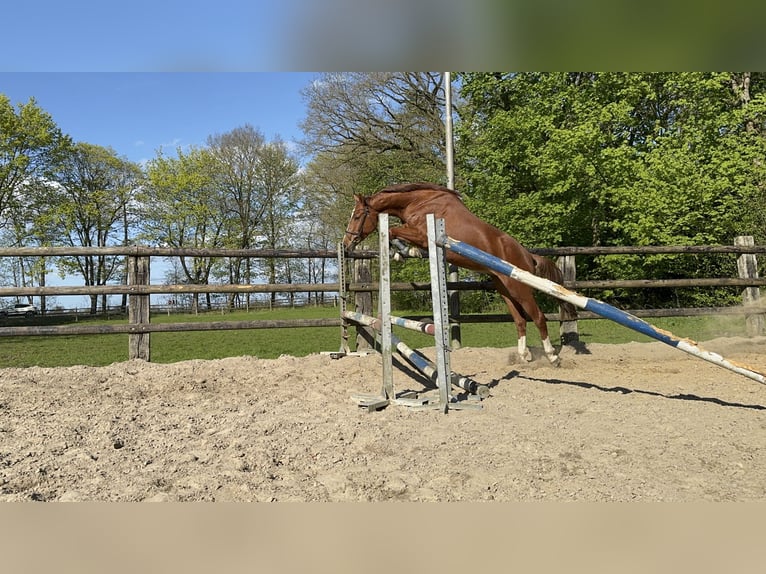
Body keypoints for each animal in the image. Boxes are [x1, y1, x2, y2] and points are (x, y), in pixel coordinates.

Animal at [342, 182, 576, 365]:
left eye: (357, 216)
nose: (346, 244)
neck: (417, 202)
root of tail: (528, 255)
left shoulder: (422, 233)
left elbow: (392, 231)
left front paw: (404, 251)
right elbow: (395, 233)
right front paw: (404, 252)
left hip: (520, 288)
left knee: (538, 317)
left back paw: (552, 356)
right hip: (504, 288)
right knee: (520, 320)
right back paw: (523, 356)